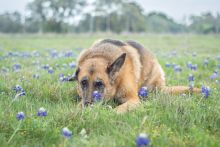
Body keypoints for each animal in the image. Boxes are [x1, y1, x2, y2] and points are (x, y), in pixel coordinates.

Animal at [69, 39, 201, 113]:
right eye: (83, 82)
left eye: (99, 84)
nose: (87, 106)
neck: (100, 55)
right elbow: (78, 105)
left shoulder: (133, 100)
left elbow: (117, 110)